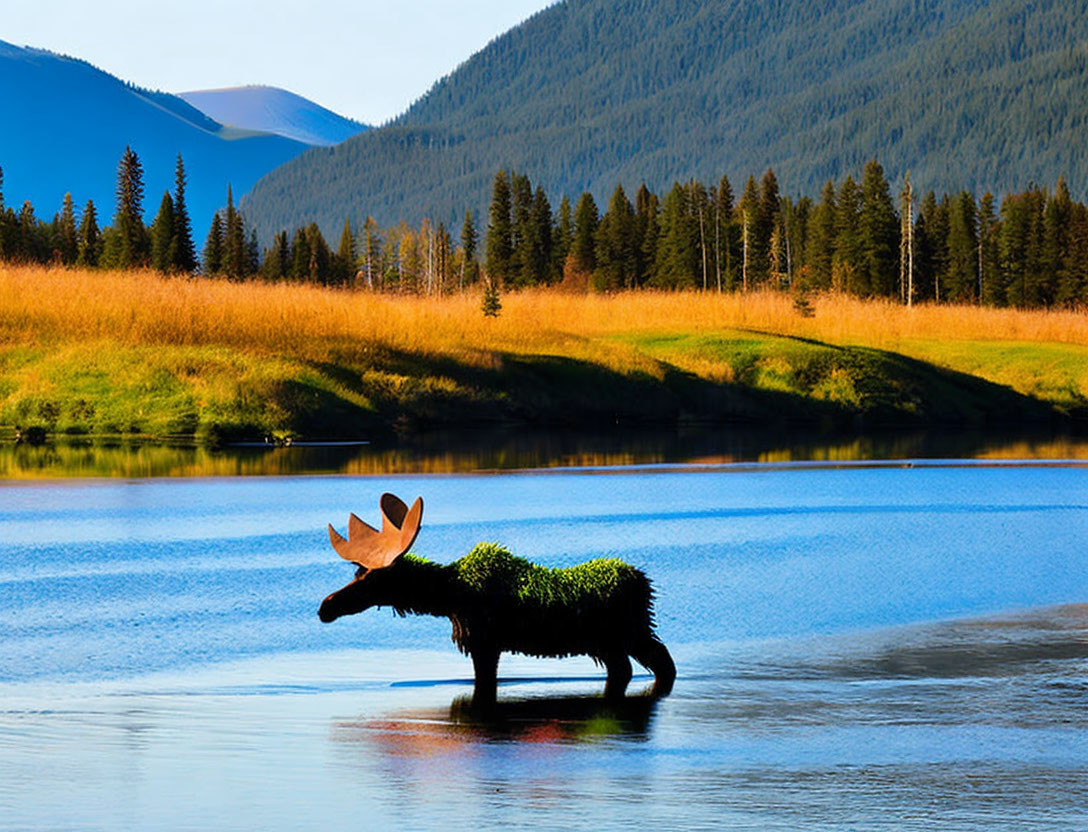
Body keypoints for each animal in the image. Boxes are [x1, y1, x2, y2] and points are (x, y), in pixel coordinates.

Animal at [317, 489, 670, 704]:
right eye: (356, 574)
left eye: (372, 579)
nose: (325, 607)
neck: (451, 598)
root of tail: (644, 583)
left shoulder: (485, 642)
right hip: (618, 641)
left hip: (622, 636)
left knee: (658, 664)